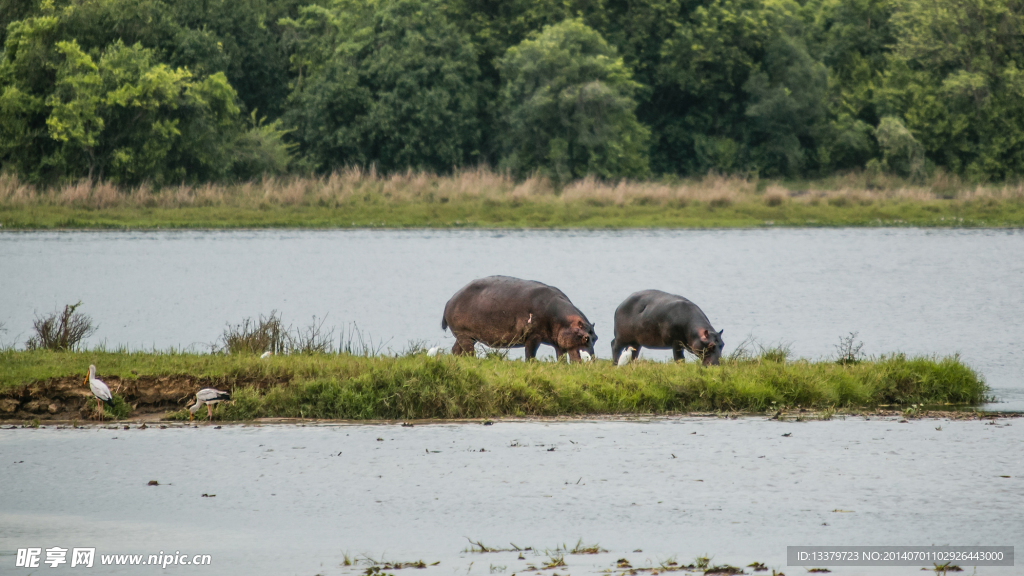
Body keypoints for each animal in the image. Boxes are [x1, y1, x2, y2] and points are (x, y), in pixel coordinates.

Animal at [442, 272, 598, 358]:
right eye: (585, 338)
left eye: (595, 338)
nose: (591, 360)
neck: (563, 320)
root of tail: (450, 300)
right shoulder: (533, 336)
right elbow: (530, 355)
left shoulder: (559, 342)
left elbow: (561, 358)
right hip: (464, 335)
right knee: (468, 353)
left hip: (468, 336)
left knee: (456, 350)